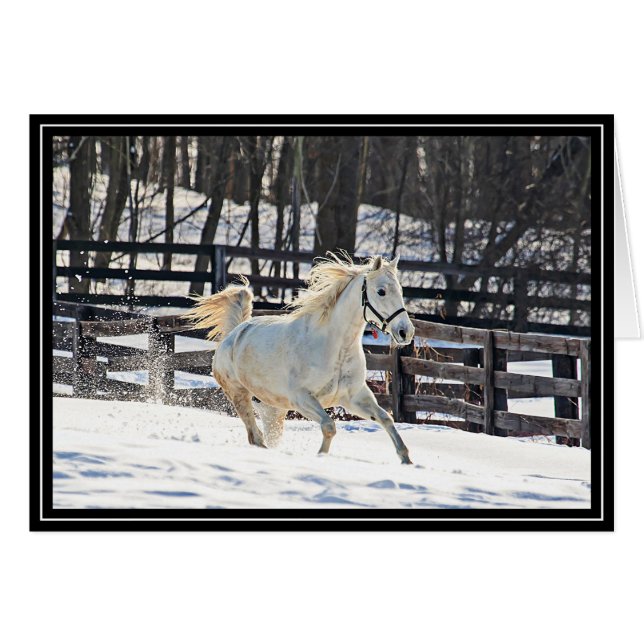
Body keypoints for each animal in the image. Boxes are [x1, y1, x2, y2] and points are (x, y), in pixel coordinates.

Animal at [183, 252, 415, 464]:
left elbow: (386, 418)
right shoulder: (302, 398)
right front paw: (321, 456)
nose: (406, 332)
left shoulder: (354, 397)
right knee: (254, 435)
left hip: (274, 408)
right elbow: (329, 426)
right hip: (239, 394)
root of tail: (233, 334)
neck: (335, 349)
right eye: (381, 291)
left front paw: (406, 460)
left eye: (401, 290)